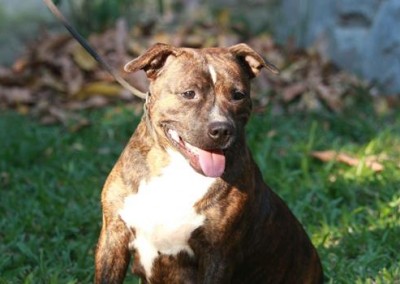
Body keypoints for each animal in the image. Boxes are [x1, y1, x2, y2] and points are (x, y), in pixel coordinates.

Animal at [95, 43, 324, 282]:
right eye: (189, 93)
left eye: (238, 95)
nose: (222, 129)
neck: (177, 170)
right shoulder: (113, 236)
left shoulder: (218, 254)